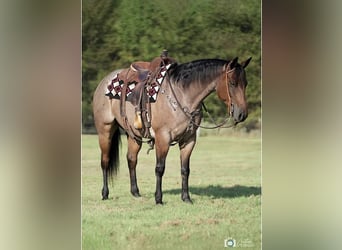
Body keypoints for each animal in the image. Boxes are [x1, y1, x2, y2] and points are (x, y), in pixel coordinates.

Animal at [92, 57, 252, 205]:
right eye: (232, 83)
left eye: (245, 84)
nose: (242, 114)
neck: (183, 95)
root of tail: (105, 81)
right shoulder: (163, 138)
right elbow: (160, 168)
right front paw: (158, 199)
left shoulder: (189, 140)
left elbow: (185, 169)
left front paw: (186, 198)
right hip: (105, 130)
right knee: (105, 161)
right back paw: (105, 193)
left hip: (133, 135)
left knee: (131, 159)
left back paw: (135, 192)